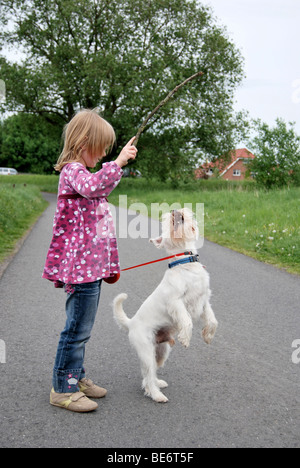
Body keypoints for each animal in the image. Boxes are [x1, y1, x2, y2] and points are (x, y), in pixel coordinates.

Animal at [113, 208, 218, 402]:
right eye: (167, 223)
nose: (175, 210)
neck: (186, 263)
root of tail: (131, 323)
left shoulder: (204, 300)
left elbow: (213, 321)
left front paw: (208, 336)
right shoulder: (176, 302)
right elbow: (187, 321)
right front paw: (185, 338)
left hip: (162, 350)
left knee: (151, 372)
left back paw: (158, 384)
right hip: (146, 350)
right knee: (147, 376)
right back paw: (157, 395)